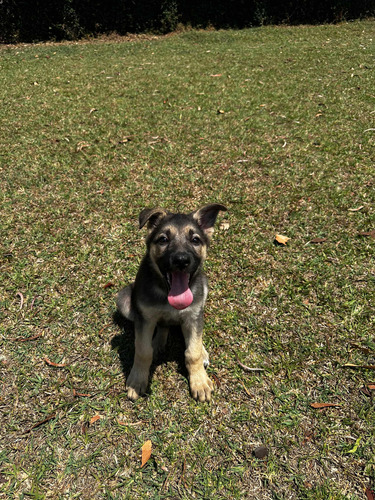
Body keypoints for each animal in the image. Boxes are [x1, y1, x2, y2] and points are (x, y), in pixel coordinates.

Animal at [117, 203, 228, 402]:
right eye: (163, 239)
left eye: (195, 240)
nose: (181, 260)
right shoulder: (145, 319)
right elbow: (143, 350)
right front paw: (137, 380)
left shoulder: (193, 316)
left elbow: (193, 352)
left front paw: (199, 381)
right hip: (124, 300)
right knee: (162, 326)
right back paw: (158, 342)